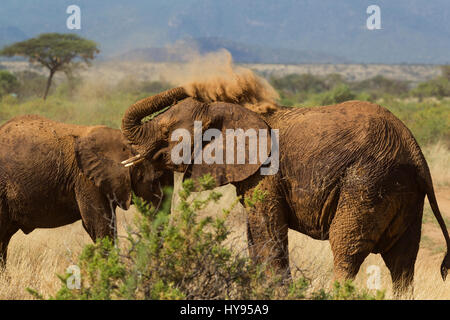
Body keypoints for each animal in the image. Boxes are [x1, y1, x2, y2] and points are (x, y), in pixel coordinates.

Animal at [120, 87, 450, 298]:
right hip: (405, 194)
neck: (236, 110)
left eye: (167, 133)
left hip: (368, 182)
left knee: (347, 250)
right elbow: (254, 235)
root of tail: (417, 153)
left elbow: (268, 231)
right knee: (403, 261)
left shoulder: (267, 172)